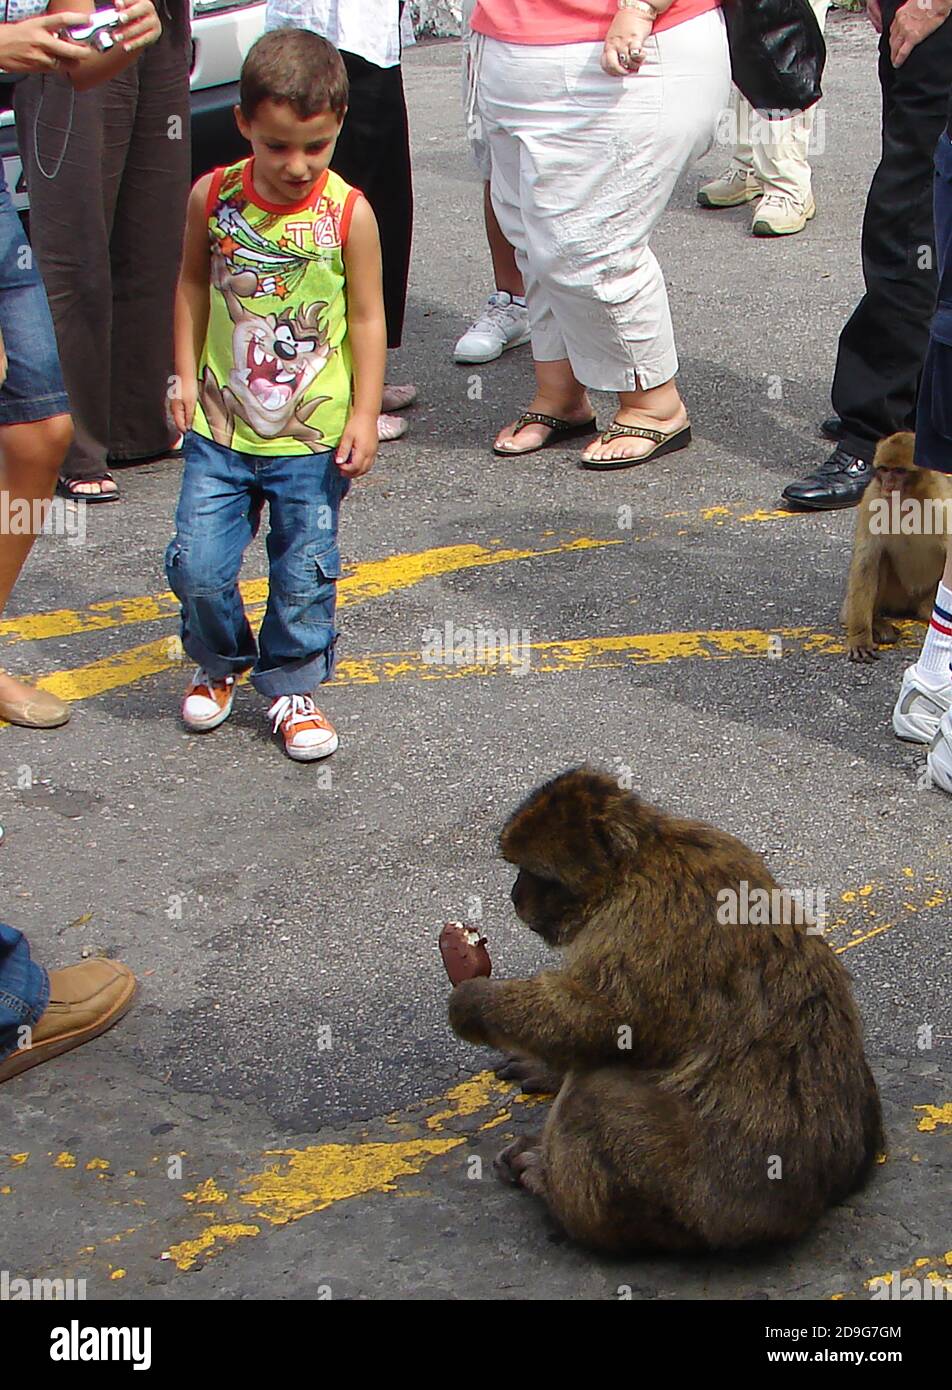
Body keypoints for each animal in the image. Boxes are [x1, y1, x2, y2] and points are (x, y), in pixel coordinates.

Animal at [447, 767, 883, 1256]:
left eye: (537, 874)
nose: (514, 895)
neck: (636, 861)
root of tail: (822, 1194)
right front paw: (546, 1067)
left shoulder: (641, 916)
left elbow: (603, 1021)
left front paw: (474, 1003)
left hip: (710, 1197)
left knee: (594, 1097)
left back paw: (558, 1198)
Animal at [839, 433, 950, 661]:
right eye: (884, 469)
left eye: (899, 471)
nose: (888, 485)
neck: (908, 500)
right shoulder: (872, 498)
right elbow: (866, 561)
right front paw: (860, 636)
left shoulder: (942, 501)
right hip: (894, 593)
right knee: (879, 560)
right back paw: (876, 623)